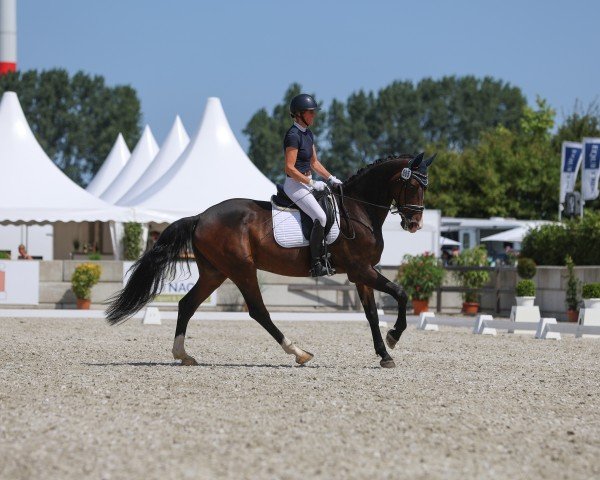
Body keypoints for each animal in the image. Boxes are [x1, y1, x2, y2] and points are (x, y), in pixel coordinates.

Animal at [104, 153, 432, 368]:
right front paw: (394, 337)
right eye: (413, 186)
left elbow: (372, 315)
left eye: (424, 187)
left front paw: (385, 354)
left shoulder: (360, 274)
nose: (414, 224)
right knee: (258, 311)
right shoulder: (361, 269)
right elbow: (401, 293)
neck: (358, 210)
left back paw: (183, 355)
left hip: (214, 272)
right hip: (241, 269)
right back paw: (299, 353)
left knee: (187, 304)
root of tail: (200, 216)